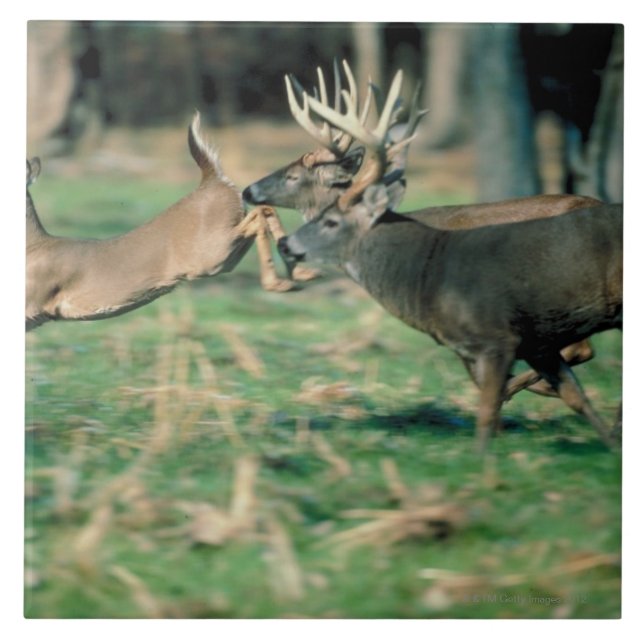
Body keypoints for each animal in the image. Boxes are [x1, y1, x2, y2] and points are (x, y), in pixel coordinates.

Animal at [26, 112, 300, 332]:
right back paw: (296, 272)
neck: (33, 247)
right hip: (222, 256)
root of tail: (212, 179)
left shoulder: (32, 303)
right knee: (263, 212)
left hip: (211, 253)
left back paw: (283, 281)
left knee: (258, 216)